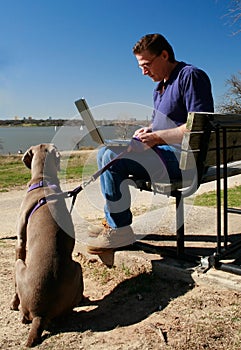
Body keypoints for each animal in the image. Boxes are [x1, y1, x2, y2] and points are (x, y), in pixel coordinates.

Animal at [10, 144, 84, 348]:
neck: (43, 181)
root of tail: (40, 316)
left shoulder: (20, 241)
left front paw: (13, 303)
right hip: (76, 267)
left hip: (23, 266)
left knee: (25, 316)